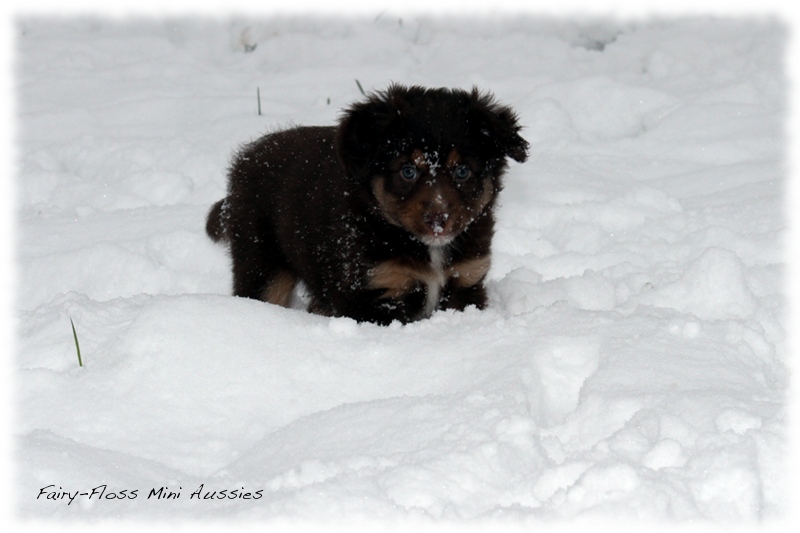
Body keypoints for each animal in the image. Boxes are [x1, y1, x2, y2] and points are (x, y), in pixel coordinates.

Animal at [209, 83, 528, 324]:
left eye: (462, 171)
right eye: (407, 171)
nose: (438, 220)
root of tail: (247, 157)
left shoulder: (466, 281)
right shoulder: (372, 291)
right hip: (261, 262)